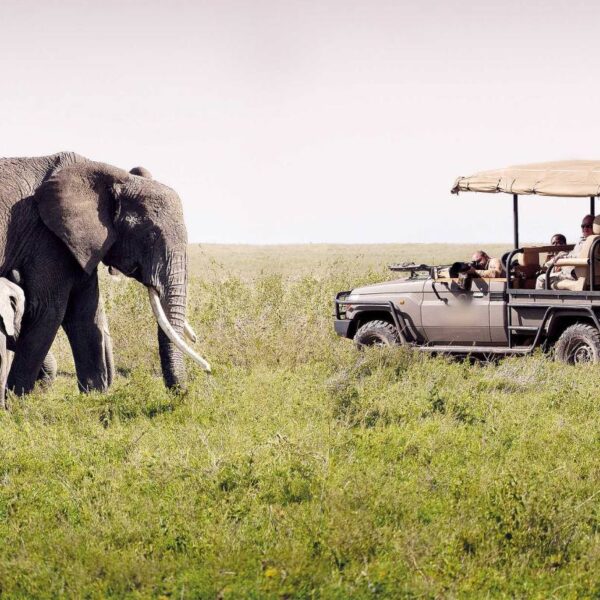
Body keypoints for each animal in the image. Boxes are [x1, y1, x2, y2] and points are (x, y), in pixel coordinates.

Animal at [0, 151, 210, 394]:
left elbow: (84, 311)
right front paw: (18, 400)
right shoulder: (46, 237)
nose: (183, 394)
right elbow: (47, 310)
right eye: (149, 237)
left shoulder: (77, 242)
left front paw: (93, 396)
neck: (114, 177)